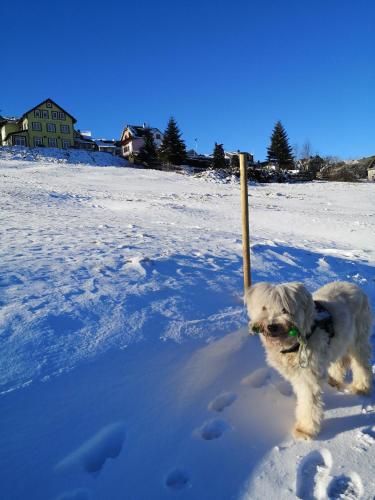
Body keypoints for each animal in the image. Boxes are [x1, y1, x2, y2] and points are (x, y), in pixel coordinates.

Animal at [247, 284, 374, 440]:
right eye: (264, 307)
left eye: (285, 309)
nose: (272, 326)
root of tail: (355, 286)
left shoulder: (308, 375)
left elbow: (309, 403)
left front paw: (305, 429)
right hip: (340, 339)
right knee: (340, 360)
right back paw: (334, 380)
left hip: (358, 338)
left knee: (362, 364)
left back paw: (361, 387)